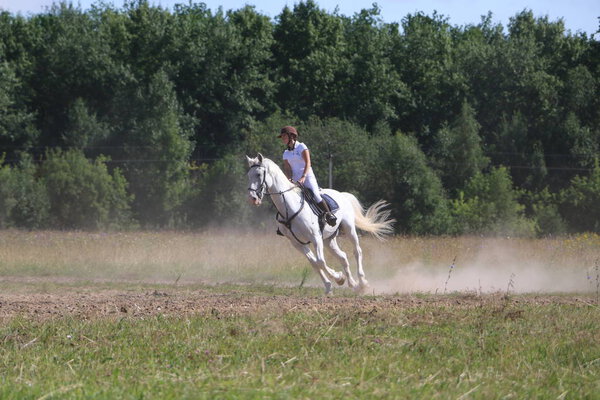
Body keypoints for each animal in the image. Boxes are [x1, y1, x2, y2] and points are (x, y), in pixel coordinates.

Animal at [246, 153, 396, 294]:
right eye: (248, 175)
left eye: (258, 174)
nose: (253, 198)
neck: (289, 207)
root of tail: (342, 194)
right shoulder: (297, 243)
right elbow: (314, 263)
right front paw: (330, 286)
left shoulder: (315, 237)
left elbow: (320, 261)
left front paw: (338, 278)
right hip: (329, 239)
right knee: (343, 257)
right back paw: (354, 285)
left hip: (349, 229)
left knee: (357, 252)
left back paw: (363, 283)